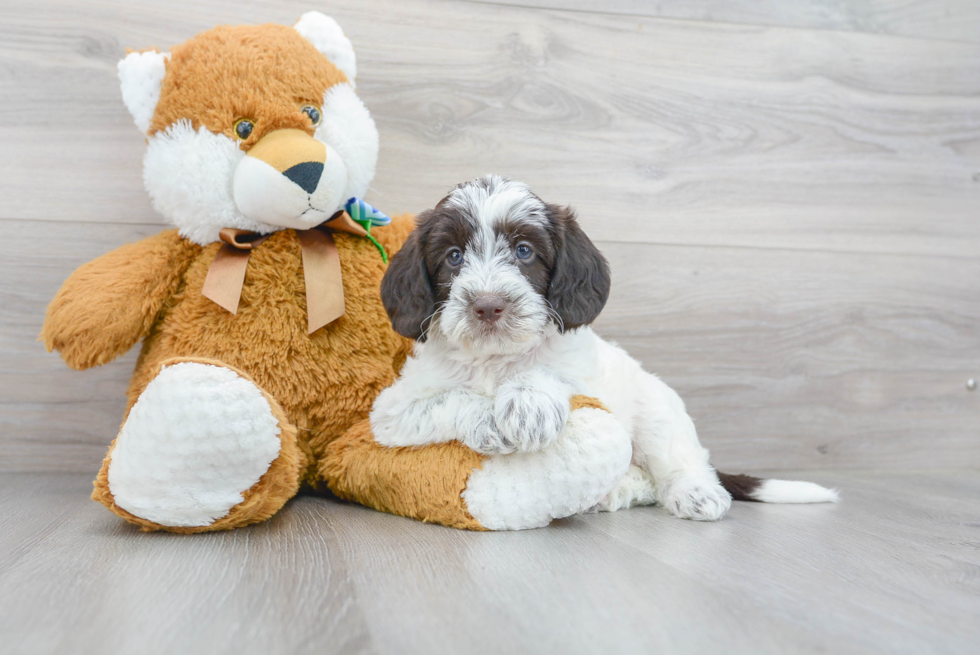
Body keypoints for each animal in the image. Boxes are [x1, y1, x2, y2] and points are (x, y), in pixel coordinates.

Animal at [372, 176, 840, 524]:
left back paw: (695, 491)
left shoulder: (581, 376)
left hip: (658, 411)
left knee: (682, 461)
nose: (488, 305)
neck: (496, 360)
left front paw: (528, 401)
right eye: (453, 257)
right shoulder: (390, 414)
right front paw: (490, 418)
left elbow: (549, 373)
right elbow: (447, 401)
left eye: (524, 251)